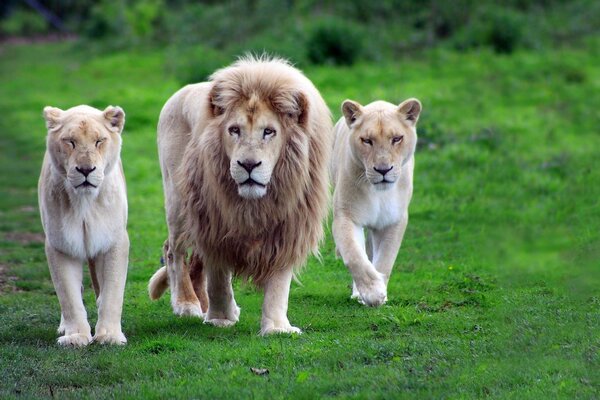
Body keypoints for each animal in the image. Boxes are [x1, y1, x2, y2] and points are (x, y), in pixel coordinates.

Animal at [39, 104, 131, 346]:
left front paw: (109, 335)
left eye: (99, 141)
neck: (84, 203)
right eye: (70, 141)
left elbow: (112, 292)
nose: (86, 169)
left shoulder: (113, 241)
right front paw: (76, 337)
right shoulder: (60, 244)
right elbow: (68, 295)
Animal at [147, 56, 330, 334]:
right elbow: (218, 278)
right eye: (234, 130)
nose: (248, 165)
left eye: (269, 131)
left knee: (195, 262)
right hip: (178, 201)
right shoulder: (214, 224)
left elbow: (279, 284)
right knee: (174, 251)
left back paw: (204, 304)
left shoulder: (289, 228)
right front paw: (220, 319)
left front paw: (277, 328)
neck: (255, 204)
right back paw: (187, 304)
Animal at [328, 98, 422, 308]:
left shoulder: (393, 221)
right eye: (367, 140)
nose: (383, 169)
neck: (379, 194)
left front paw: (381, 294)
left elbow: (385, 259)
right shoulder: (346, 216)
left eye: (396, 139)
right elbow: (354, 256)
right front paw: (372, 293)